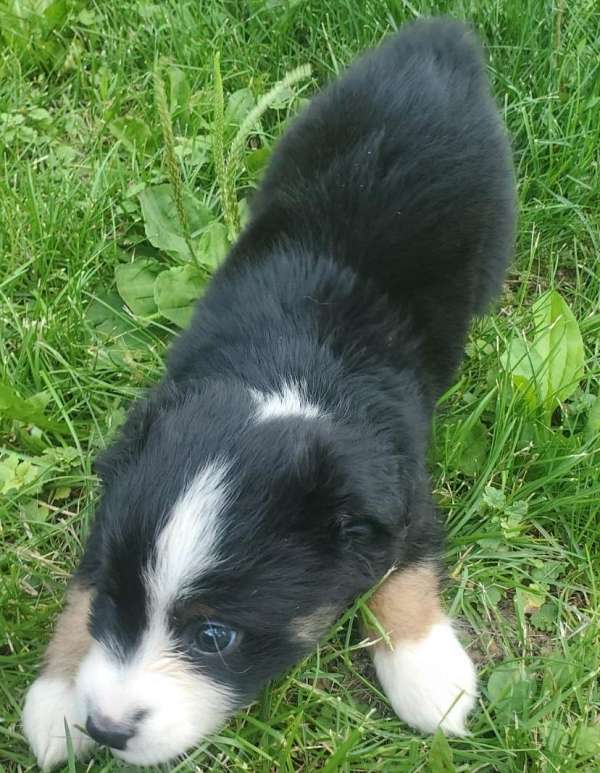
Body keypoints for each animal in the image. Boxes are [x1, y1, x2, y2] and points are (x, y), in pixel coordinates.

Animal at [23, 16, 516, 764]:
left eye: (214, 635)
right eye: (115, 596)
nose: (106, 729)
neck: (286, 376)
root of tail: (439, 39)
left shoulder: (401, 483)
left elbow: (406, 567)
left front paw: (430, 676)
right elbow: (79, 586)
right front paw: (56, 702)